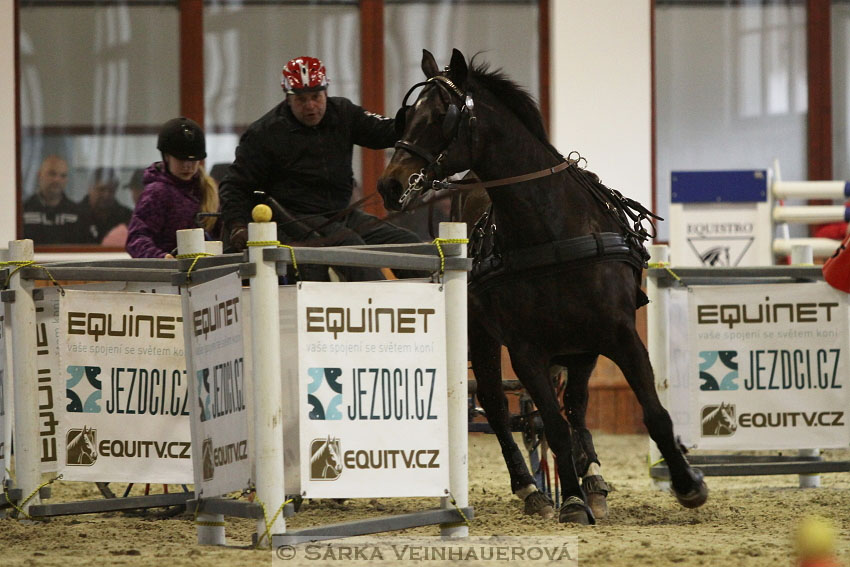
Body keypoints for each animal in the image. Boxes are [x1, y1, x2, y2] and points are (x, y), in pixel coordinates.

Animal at [376, 48, 704, 524]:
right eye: (407, 116)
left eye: (440, 115)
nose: (389, 185)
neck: (551, 229)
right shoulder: (525, 348)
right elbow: (550, 424)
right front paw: (569, 501)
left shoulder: (617, 334)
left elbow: (650, 413)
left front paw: (687, 484)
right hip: (482, 334)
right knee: (496, 405)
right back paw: (531, 487)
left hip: (580, 344)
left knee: (577, 404)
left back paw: (592, 479)